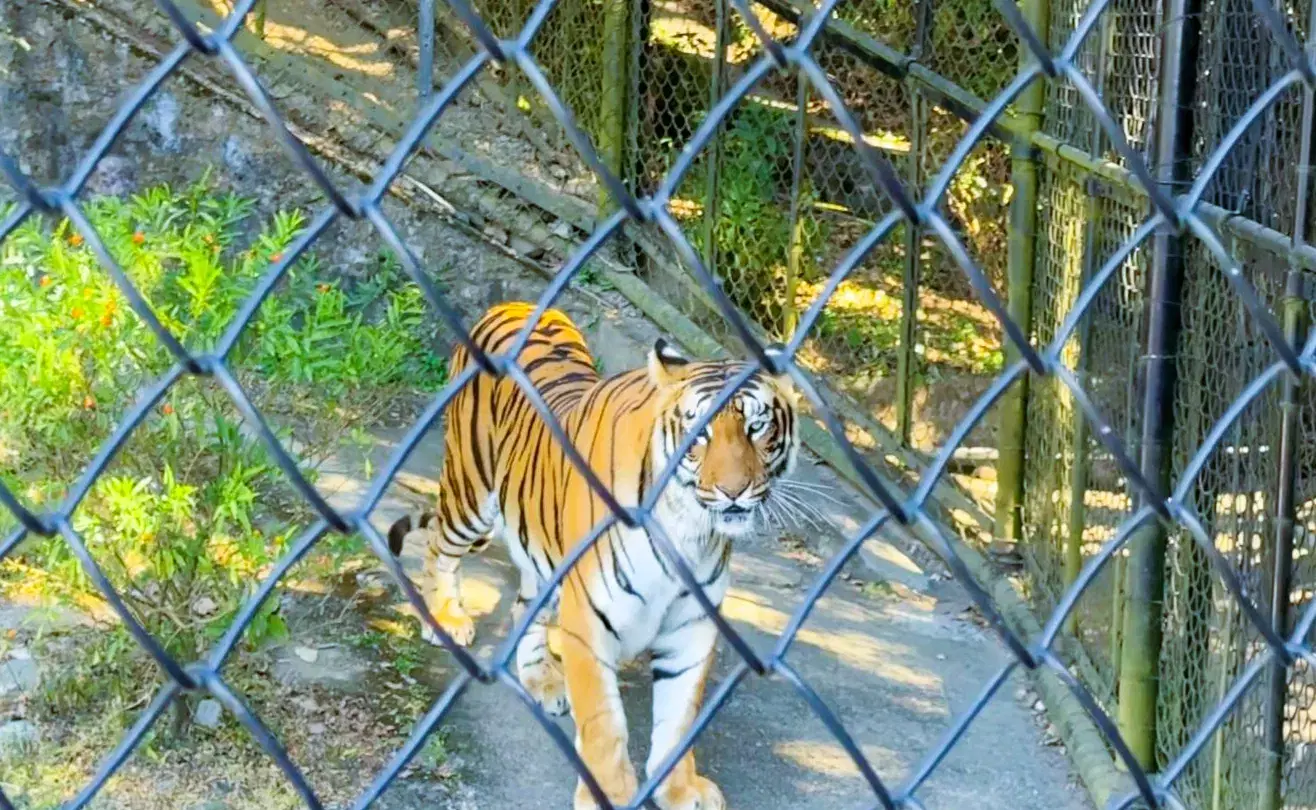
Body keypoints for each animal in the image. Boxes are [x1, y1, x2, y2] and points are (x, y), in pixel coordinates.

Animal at [386, 301, 800, 810]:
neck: (688, 531)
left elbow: (679, 718)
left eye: (757, 427)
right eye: (698, 434)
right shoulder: (590, 617)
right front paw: (612, 794)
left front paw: (680, 790)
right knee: (439, 547)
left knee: (525, 606)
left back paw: (542, 680)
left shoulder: (692, 625)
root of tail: (513, 304)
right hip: (472, 493)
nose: (733, 490)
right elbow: (605, 722)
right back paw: (445, 618)